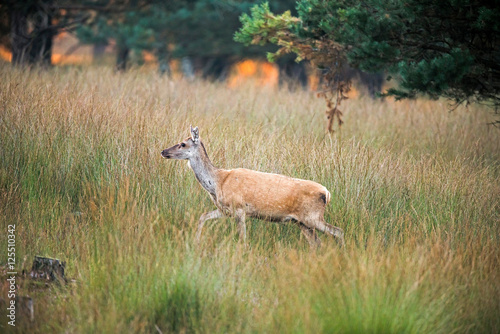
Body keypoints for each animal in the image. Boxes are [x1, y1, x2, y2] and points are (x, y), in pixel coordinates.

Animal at [162, 126, 346, 247]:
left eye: (183, 144)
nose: (163, 151)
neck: (217, 182)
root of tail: (327, 193)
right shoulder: (225, 210)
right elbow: (202, 217)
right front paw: (196, 242)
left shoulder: (239, 208)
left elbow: (242, 237)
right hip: (302, 222)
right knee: (317, 243)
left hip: (312, 217)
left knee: (338, 231)